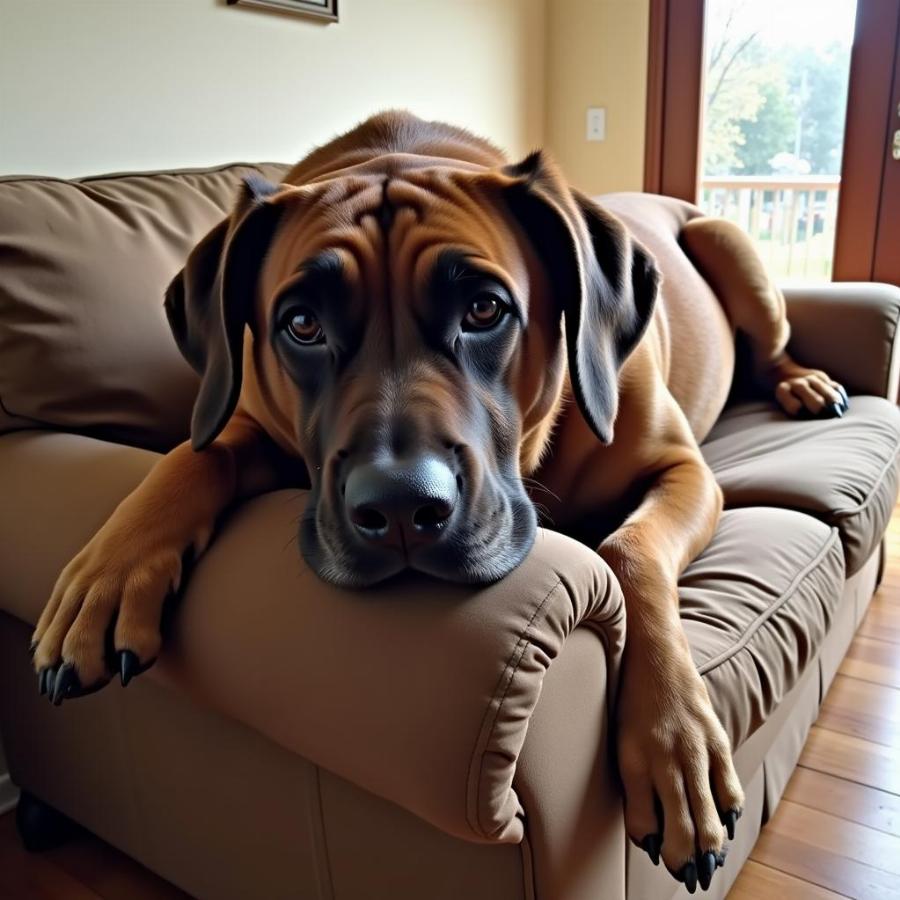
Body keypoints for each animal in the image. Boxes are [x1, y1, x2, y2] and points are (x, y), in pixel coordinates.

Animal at [26, 112, 844, 892]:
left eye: (484, 310)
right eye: (301, 324)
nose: (398, 508)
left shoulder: (685, 471)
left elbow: (628, 550)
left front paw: (674, 741)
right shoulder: (251, 419)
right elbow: (194, 455)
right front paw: (104, 576)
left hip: (730, 248)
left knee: (773, 341)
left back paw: (805, 383)